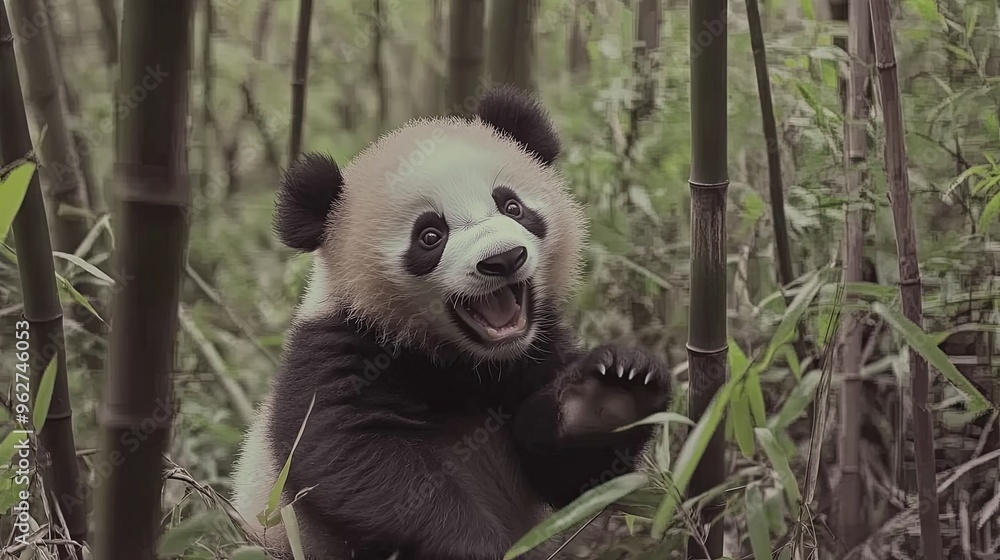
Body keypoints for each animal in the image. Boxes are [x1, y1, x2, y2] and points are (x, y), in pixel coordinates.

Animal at [229, 85, 673, 560]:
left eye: (512, 205)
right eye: (430, 235)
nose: (503, 259)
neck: (464, 360)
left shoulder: (538, 351)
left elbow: (567, 473)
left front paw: (609, 392)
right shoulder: (337, 351)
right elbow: (359, 460)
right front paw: (479, 547)